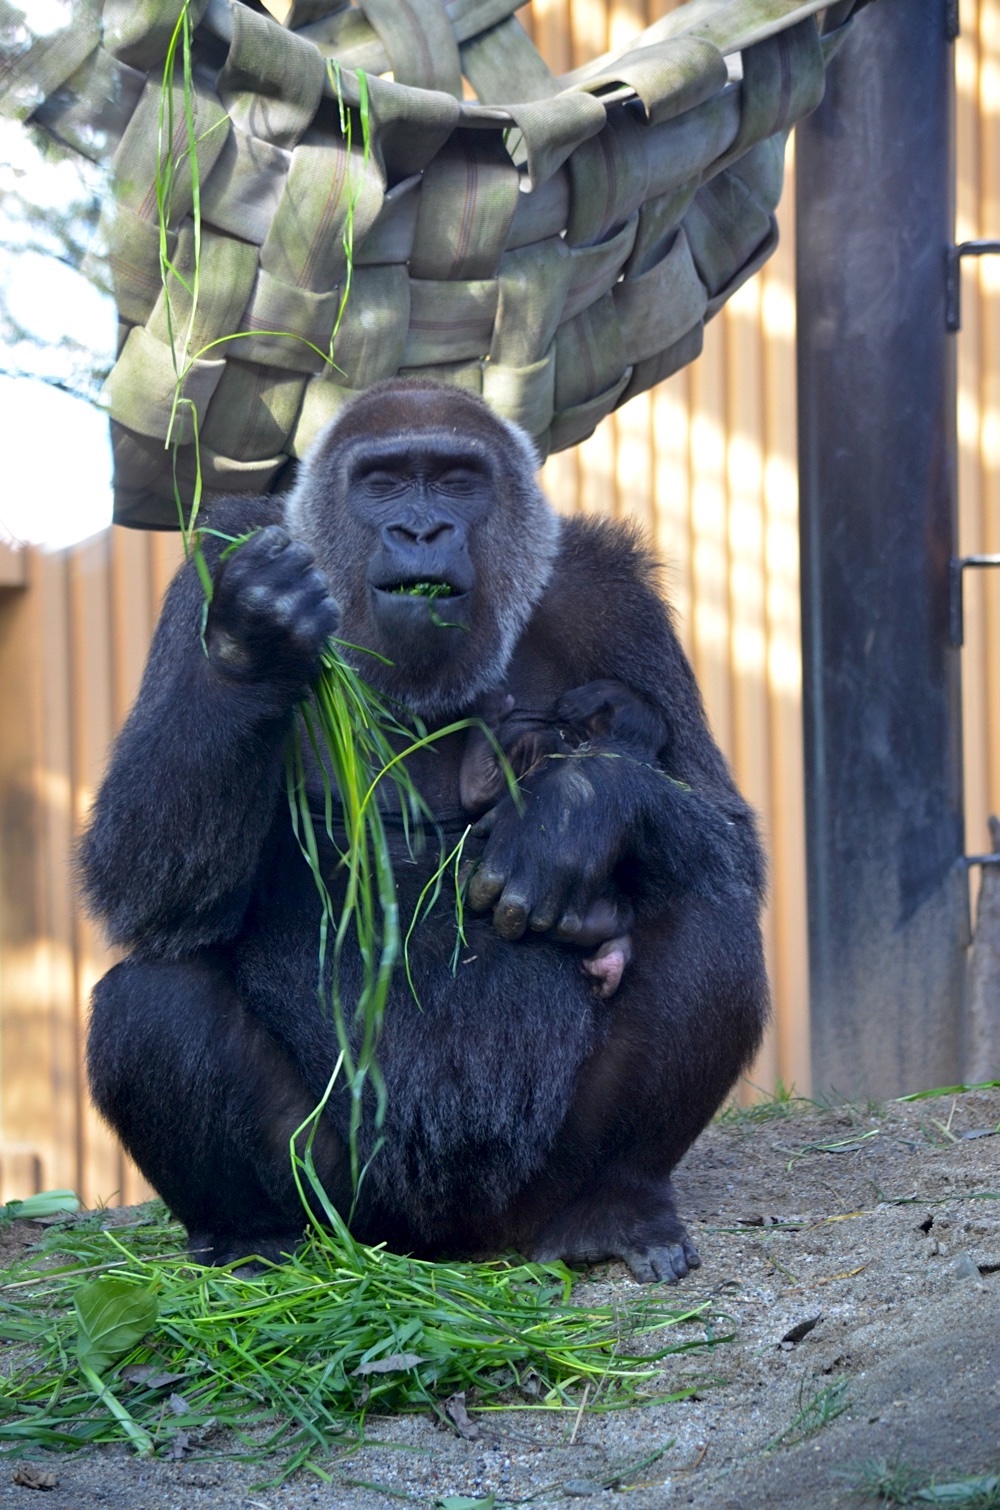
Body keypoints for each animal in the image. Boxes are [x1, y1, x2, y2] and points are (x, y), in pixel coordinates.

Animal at [82, 380, 767, 1286]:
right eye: (382, 482)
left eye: (454, 480)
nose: (420, 531)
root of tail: (449, 1246)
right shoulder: (218, 557)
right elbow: (139, 878)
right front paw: (253, 638)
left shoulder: (611, 592)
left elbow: (730, 842)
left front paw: (577, 809)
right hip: (346, 1204)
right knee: (154, 992)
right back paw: (254, 1235)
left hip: (530, 1195)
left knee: (709, 920)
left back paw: (613, 1205)